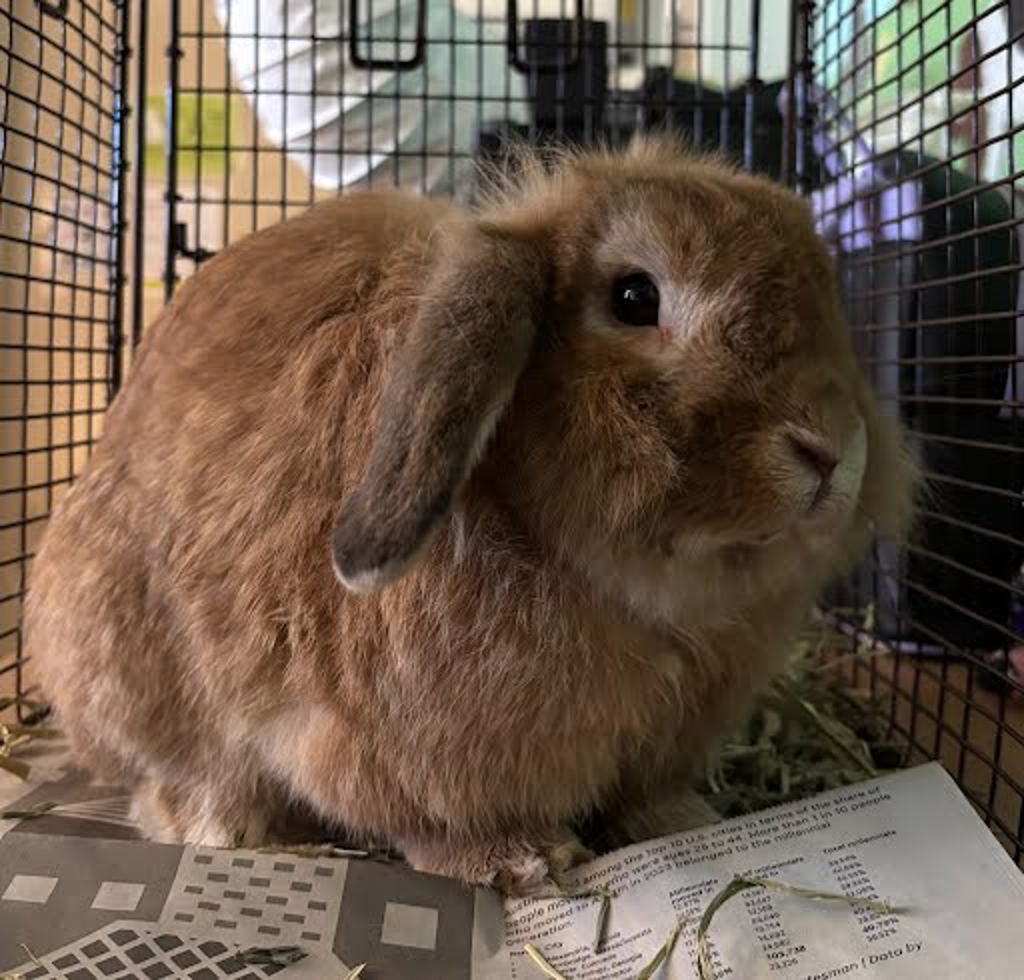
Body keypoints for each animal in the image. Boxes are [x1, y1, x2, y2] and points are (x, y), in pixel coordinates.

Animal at [25, 136, 917, 894]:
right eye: (635, 297)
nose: (833, 448)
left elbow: (649, 797)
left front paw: (692, 822)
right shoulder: (366, 743)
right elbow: (424, 821)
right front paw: (520, 860)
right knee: (179, 782)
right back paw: (230, 834)